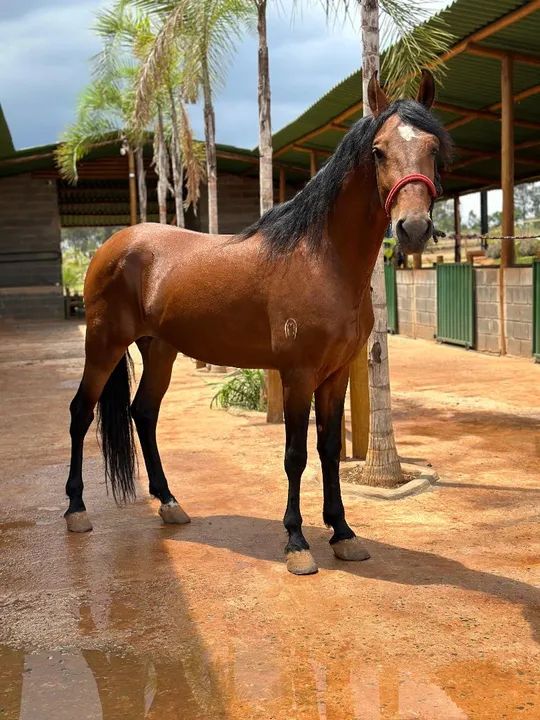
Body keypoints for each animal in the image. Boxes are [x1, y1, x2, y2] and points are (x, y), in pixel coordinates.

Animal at [64, 71, 452, 575]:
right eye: (379, 151)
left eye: (433, 147)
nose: (413, 228)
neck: (321, 258)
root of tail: (114, 243)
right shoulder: (297, 374)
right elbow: (295, 455)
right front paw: (297, 542)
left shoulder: (336, 374)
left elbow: (329, 450)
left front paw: (343, 533)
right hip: (103, 344)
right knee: (80, 413)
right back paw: (76, 511)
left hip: (160, 349)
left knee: (143, 413)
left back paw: (169, 503)